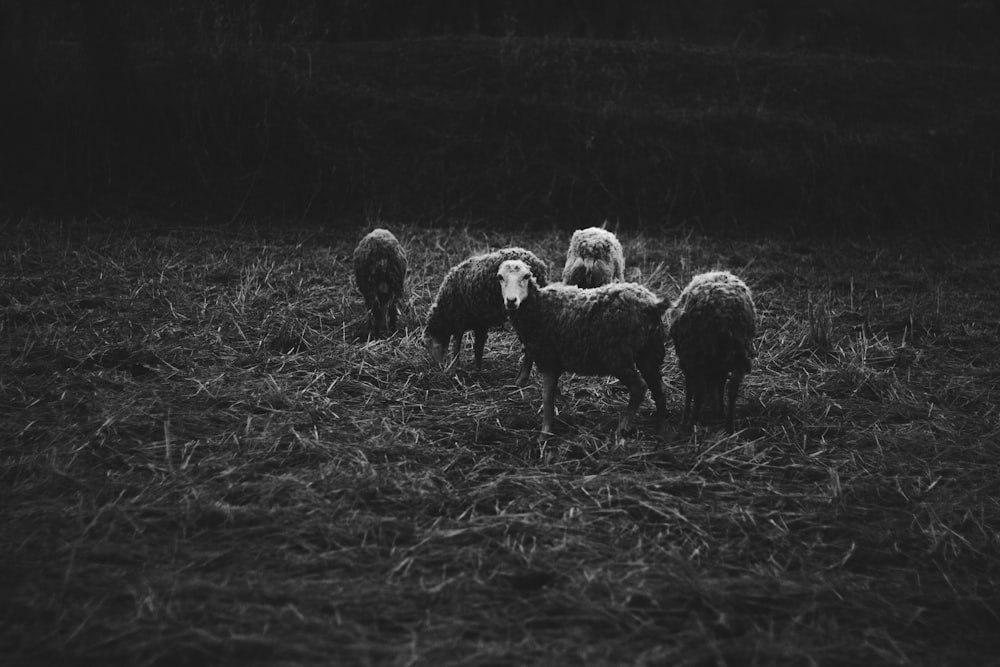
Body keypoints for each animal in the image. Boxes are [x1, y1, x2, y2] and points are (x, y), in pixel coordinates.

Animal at [422, 247, 548, 386]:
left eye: (427, 345)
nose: (437, 366)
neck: (444, 311)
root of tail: (539, 264)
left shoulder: (458, 320)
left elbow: (456, 347)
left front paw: (452, 371)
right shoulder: (480, 322)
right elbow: (478, 346)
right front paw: (477, 370)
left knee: (530, 346)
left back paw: (521, 380)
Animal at [496, 258, 668, 438]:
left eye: (526, 276)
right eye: (500, 277)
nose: (511, 301)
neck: (538, 305)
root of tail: (653, 305)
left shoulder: (548, 358)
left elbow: (547, 397)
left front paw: (545, 432)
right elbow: (553, 393)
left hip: (618, 356)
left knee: (639, 388)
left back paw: (623, 428)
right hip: (648, 352)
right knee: (660, 389)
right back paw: (660, 428)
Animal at [668, 272, 752, 434]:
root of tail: (724, 312)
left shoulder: (686, 362)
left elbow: (690, 392)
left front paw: (685, 421)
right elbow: (721, 385)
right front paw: (720, 411)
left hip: (696, 354)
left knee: (700, 391)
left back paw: (690, 425)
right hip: (740, 351)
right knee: (732, 388)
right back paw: (729, 427)